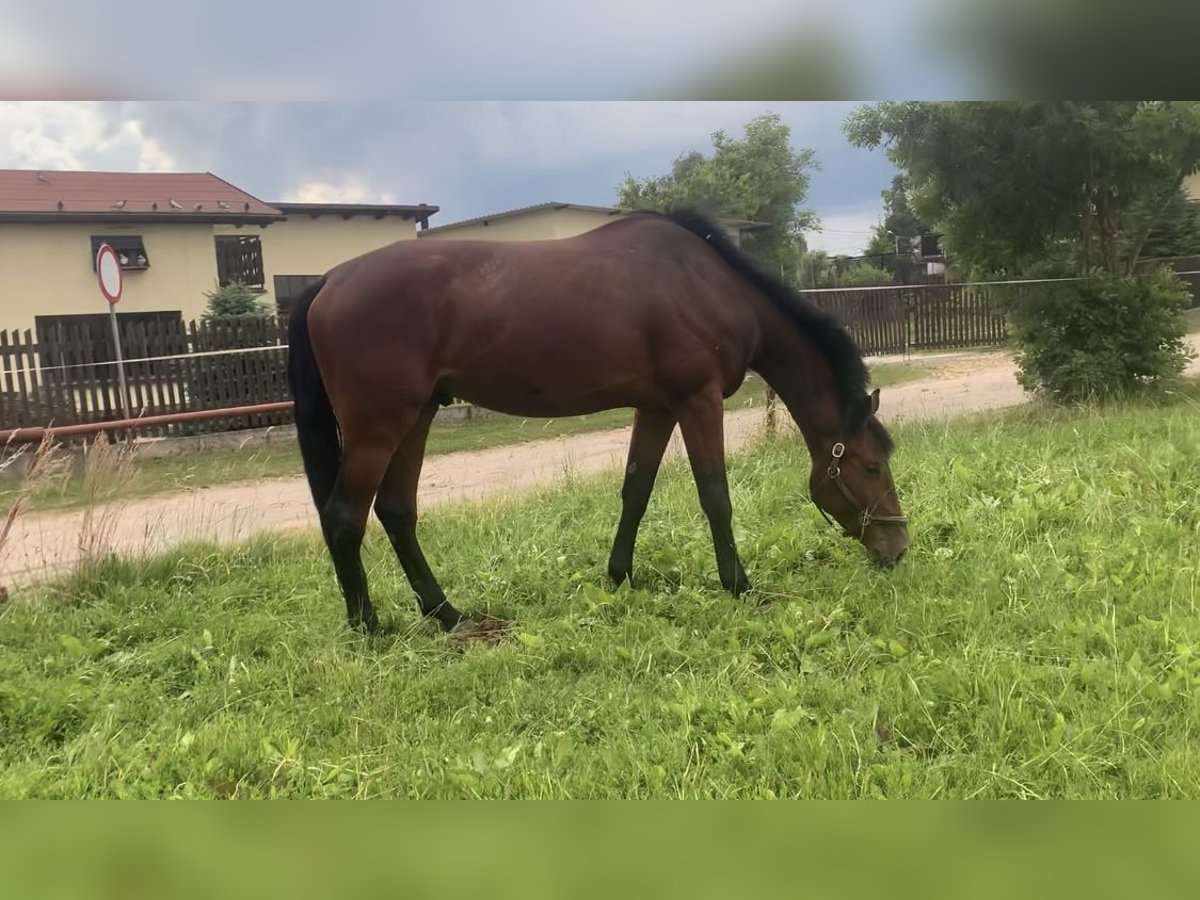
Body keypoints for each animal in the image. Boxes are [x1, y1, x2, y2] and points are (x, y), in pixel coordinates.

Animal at [288, 210, 907, 633]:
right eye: (871, 467)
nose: (897, 549)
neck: (705, 284)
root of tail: (329, 281)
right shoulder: (698, 400)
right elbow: (715, 495)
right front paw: (740, 586)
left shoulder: (657, 407)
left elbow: (636, 490)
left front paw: (619, 577)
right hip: (377, 427)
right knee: (345, 517)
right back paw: (369, 626)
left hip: (415, 416)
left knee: (397, 511)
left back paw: (447, 614)